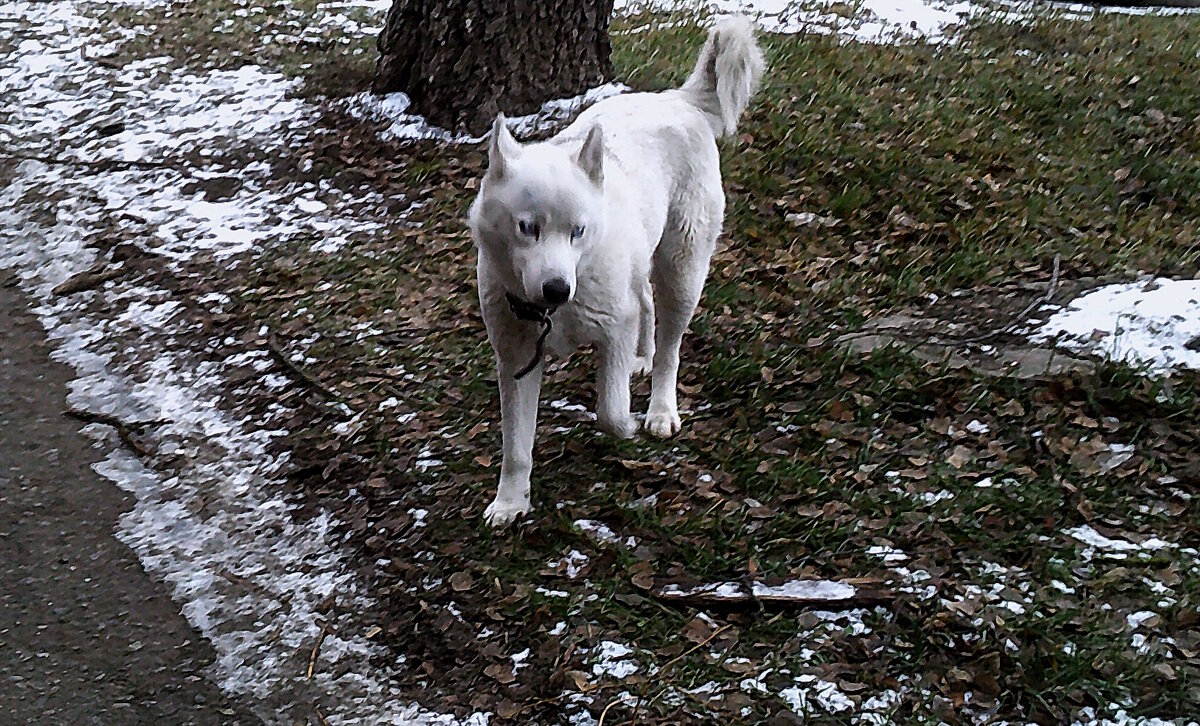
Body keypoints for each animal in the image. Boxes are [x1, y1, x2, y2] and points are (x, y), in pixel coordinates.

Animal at [465, 15, 758, 525]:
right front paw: (511, 502)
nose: (557, 289)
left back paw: (660, 408)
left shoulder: (612, 331)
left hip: (682, 271)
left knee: (670, 347)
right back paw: (643, 361)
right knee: (645, 305)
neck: (554, 312)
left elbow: (611, 410)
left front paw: (630, 426)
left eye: (578, 231)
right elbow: (516, 446)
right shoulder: (516, 359)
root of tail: (677, 100)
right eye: (528, 228)